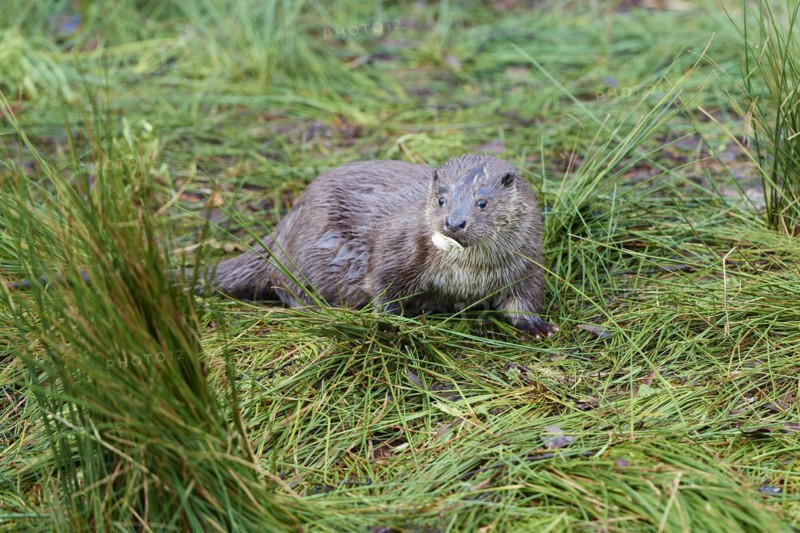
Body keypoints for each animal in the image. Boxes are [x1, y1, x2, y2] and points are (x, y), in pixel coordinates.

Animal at [202, 154, 557, 337]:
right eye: (441, 199)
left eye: (482, 202)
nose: (454, 223)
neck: (467, 275)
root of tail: (283, 227)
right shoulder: (398, 247)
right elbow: (382, 284)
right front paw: (397, 323)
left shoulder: (526, 262)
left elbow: (524, 299)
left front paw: (537, 326)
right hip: (304, 251)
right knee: (286, 287)